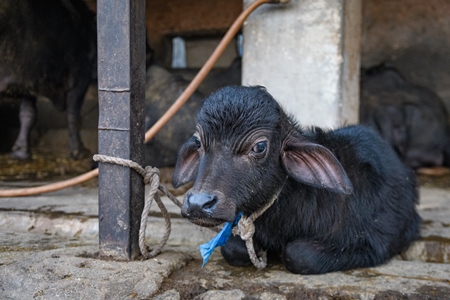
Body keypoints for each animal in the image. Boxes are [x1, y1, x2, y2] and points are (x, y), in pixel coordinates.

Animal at [173, 85, 422, 274]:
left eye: (259, 146)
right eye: (198, 142)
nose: (199, 203)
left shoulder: (371, 242)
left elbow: (298, 255)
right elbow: (232, 249)